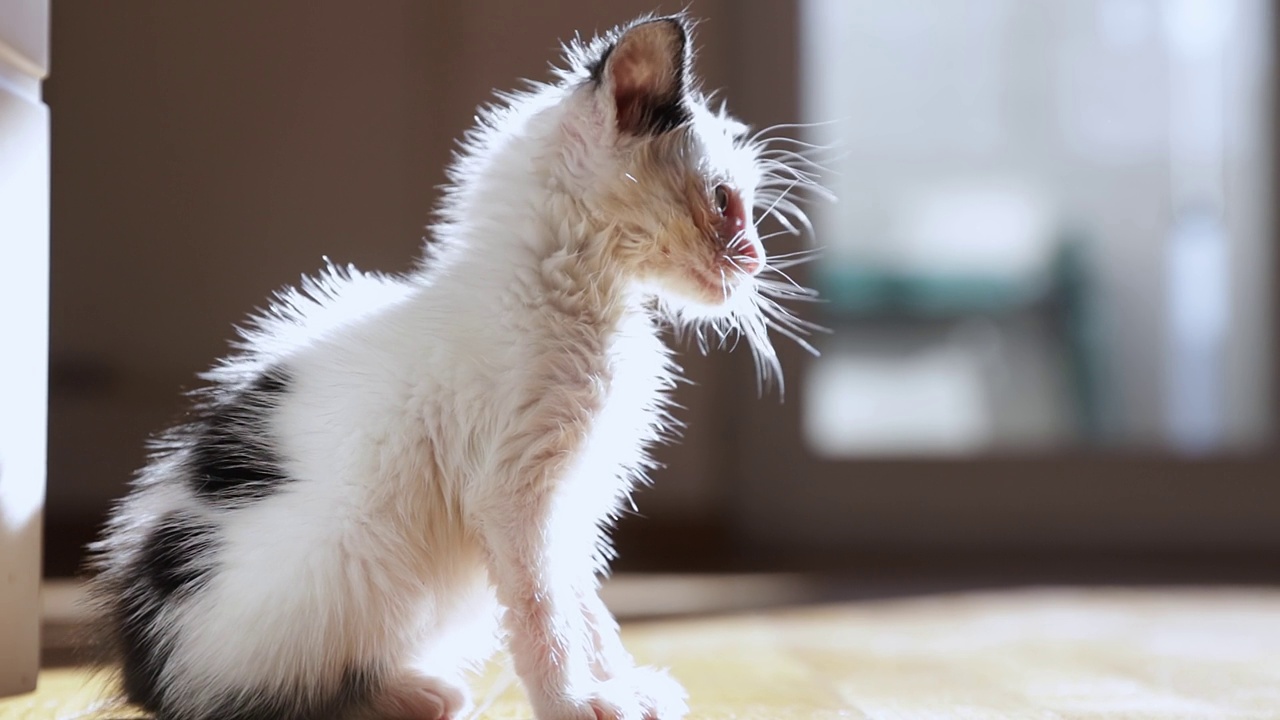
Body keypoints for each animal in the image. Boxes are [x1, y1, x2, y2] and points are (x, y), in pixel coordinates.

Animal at [94, 12, 824, 717]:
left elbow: (582, 599)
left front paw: (620, 684)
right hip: (346, 565)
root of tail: (141, 663)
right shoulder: (511, 493)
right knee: (263, 694)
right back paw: (404, 694)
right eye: (726, 201)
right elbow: (541, 607)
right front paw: (574, 701)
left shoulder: (568, 502)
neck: (574, 297)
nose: (755, 260)